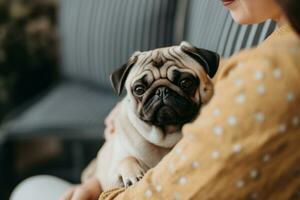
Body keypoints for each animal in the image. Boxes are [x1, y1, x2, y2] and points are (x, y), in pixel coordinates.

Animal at [90, 41, 219, 191]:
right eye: (139, 89)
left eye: (186, 83)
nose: (162, 90)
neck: (165, 136)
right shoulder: (111, 178)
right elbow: (126, 159)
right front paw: (133, 175)